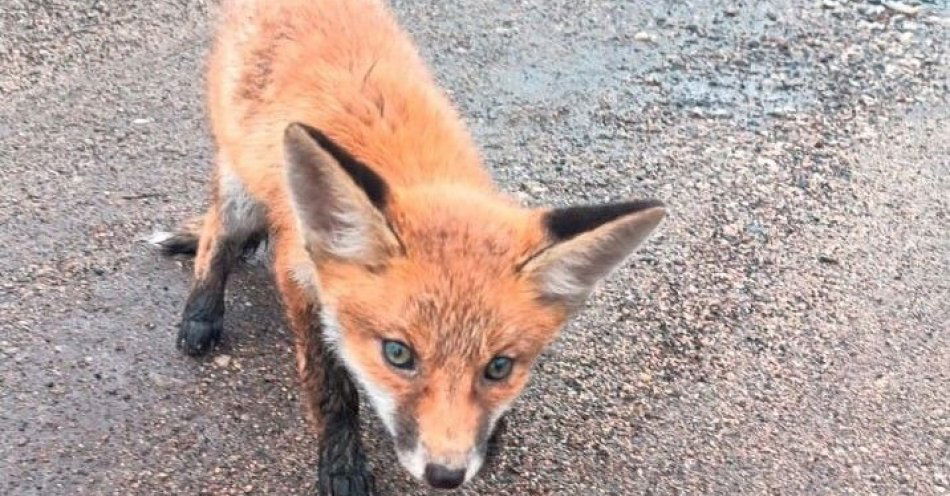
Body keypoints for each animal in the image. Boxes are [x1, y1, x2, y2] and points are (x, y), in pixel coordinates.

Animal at [152, 0, 664, 492]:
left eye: (498, 367)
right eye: (398, 354)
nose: (446, 475)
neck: (410, 166)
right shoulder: (298, 277)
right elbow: (329, 387)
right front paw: (340, 464)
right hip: (237, 181)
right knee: (218, 235)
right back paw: (201, 314)